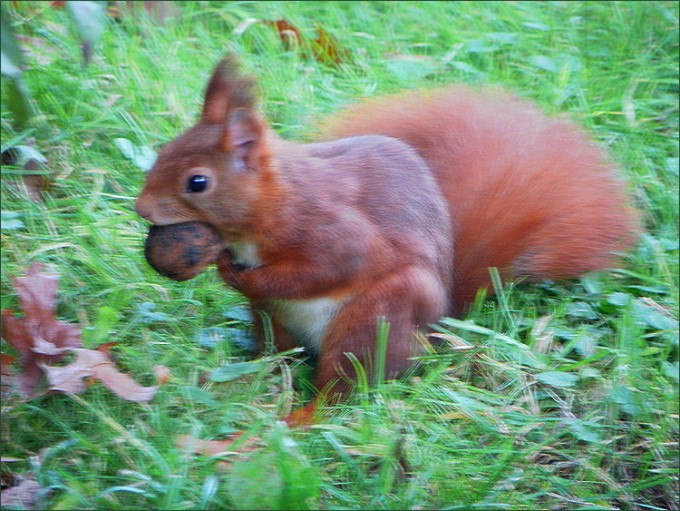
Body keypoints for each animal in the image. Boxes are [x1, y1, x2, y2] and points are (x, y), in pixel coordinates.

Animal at [136, 56, 639, 410]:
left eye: (197, 182)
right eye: (164, 150)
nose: (141, 207)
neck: (272, 200)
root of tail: (434, 334)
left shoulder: (328, 228)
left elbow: (330, 267)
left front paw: (239, 275)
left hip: (374, 317)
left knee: (343, 388)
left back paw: (300, 417)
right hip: (272, 323)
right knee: (278, 358)